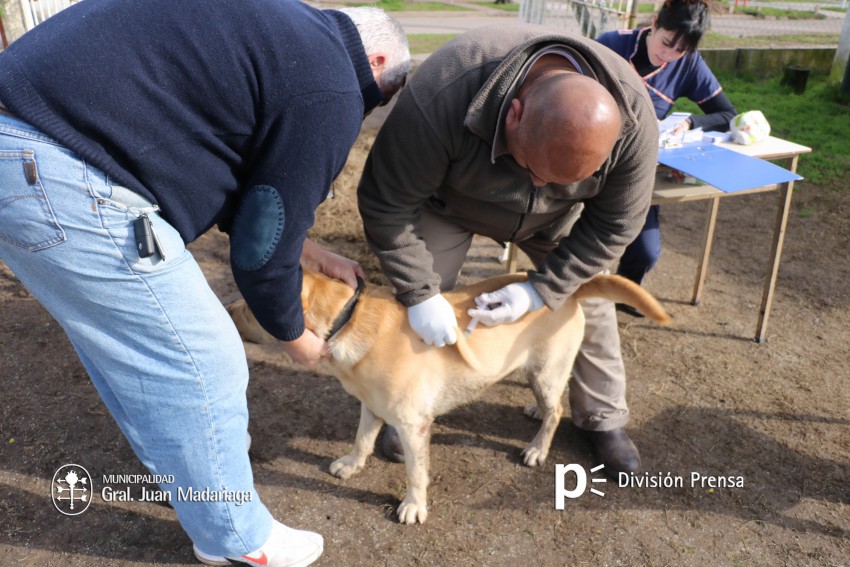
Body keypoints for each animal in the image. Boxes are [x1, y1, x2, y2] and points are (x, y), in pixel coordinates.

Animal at [227, 272, 668, 524]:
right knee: (550, 405)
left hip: (547, 372)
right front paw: (352, 465)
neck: (348, 320)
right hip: (539, 373)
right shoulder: (371, 407)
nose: (226, 312)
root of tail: (570, 291)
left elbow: (415, 473)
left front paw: (413, 506)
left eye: (250, 306)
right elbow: (362, 439)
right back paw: (533, 410)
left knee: (557, 411)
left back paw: (538, 447)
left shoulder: (414, 426)